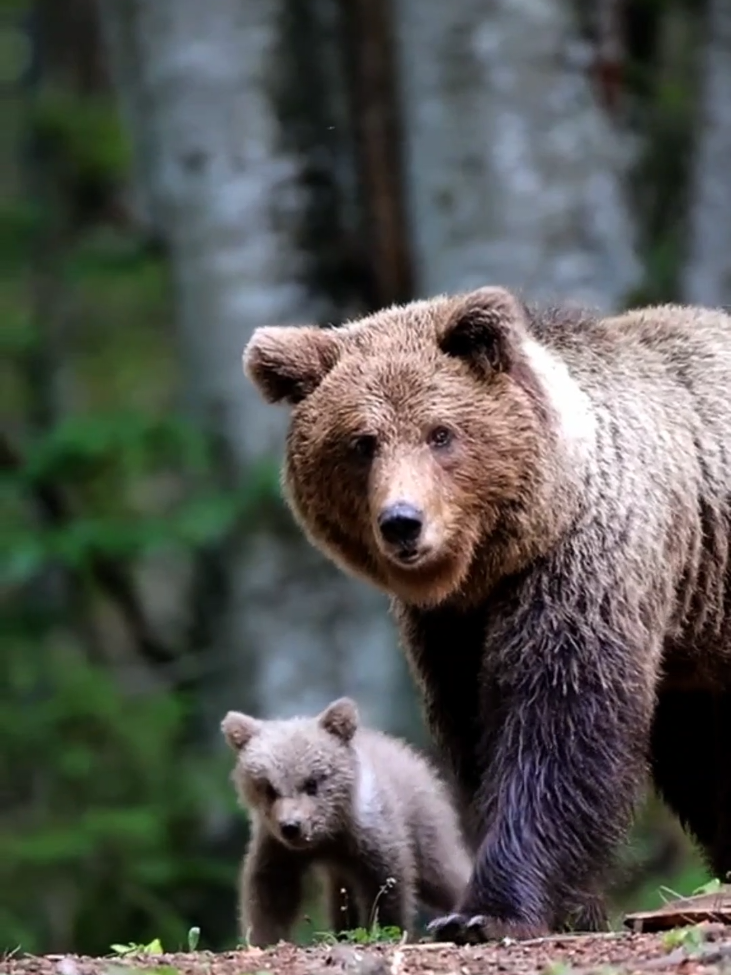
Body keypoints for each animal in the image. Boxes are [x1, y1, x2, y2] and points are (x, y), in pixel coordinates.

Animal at [242, 286, 731, 940]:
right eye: (361, 442)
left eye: (440, 432)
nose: (403, 522)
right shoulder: (452, 626)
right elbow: (476, 731)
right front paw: (566, 907)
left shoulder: (584, 569)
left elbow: (554, 725)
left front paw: (487, 910)